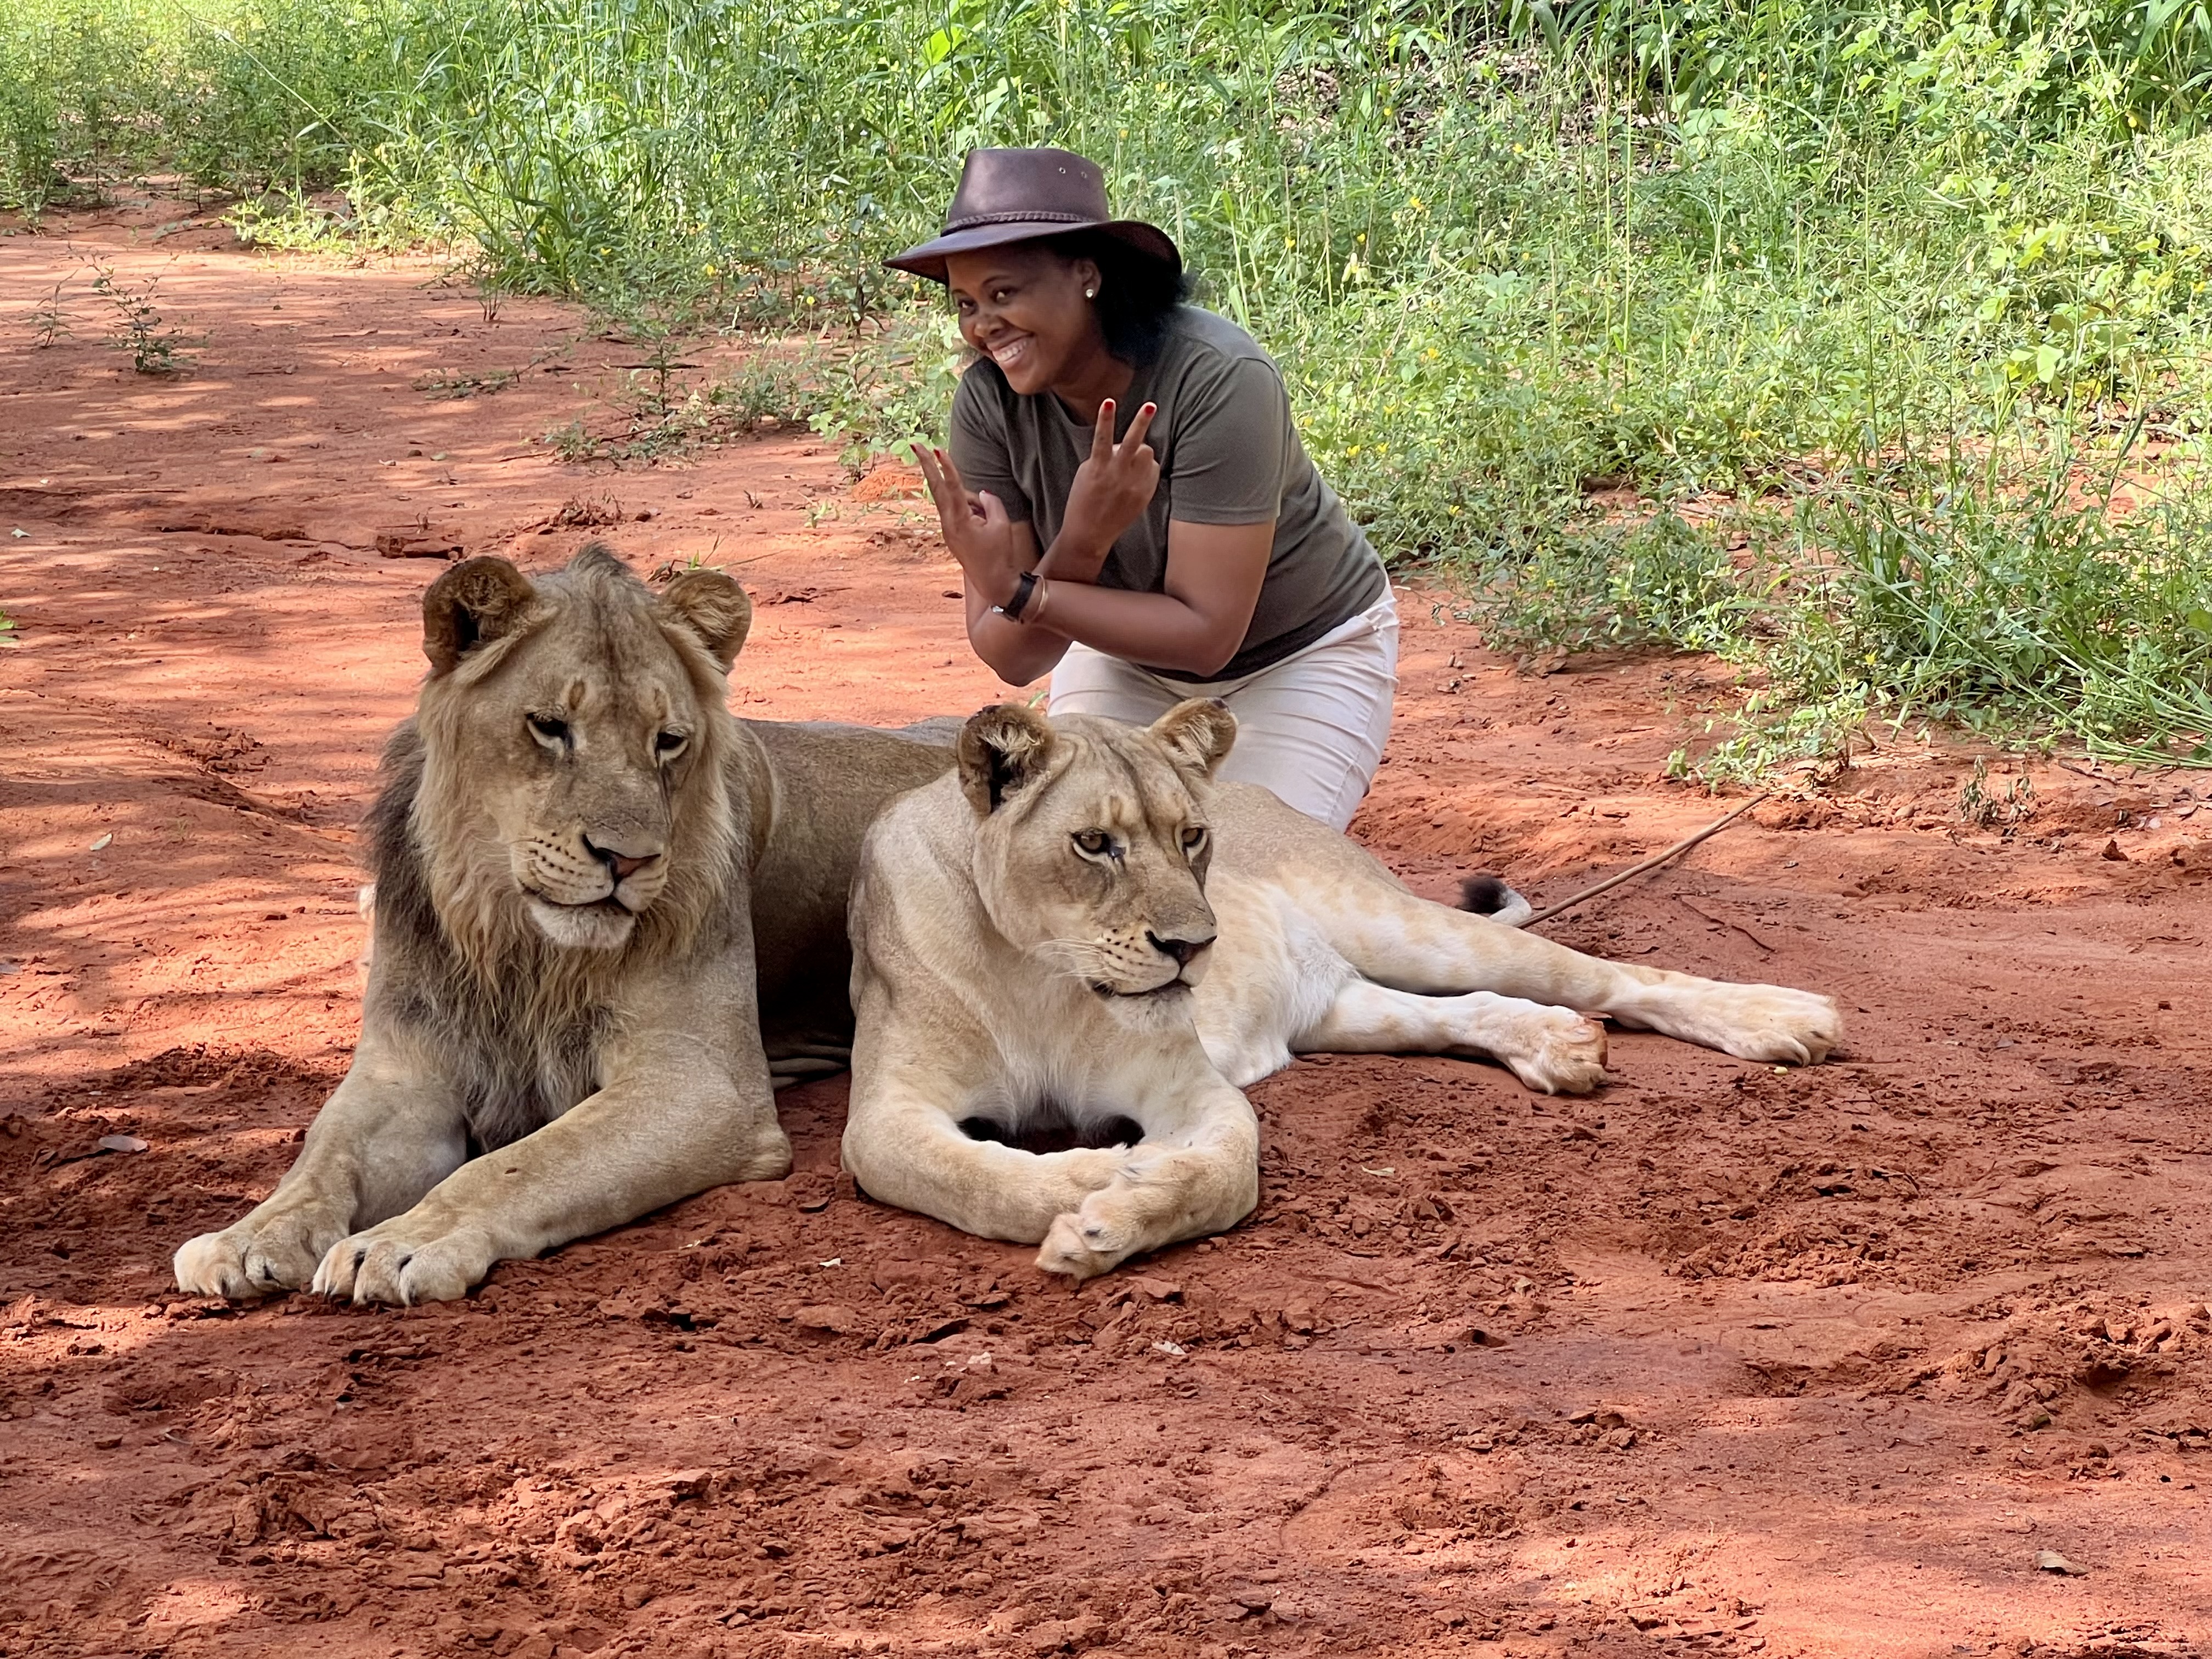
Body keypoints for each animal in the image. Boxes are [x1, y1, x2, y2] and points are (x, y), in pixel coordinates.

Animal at [173, 544, 953, 1305]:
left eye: (669, 740)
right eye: (549, 727)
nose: (628, 860)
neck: (519, 941)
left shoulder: (705, 1085)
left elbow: (520, 1165)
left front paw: (400, 1243)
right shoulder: (406, 1071)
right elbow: (322, 1156)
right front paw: (248, 1237)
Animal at [840, 699, 1841, 1279]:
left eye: (1190, 835)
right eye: (1094, 844)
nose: (1194, 947)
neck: (1035, 972)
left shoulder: (1189, 1086)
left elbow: (1227, 1170)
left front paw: (1116, 1199)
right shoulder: (884, 1113)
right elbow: (966, 1174)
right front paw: (1091, 1179)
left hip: (1403, 926)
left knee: (1615, 975)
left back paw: (1784, 1017)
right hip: (1342, 1008)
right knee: (1463, 1013)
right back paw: (1555, 1044)